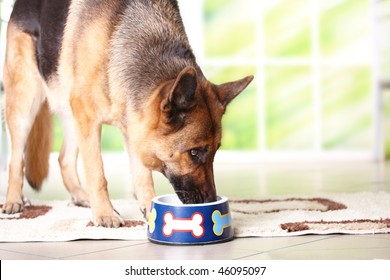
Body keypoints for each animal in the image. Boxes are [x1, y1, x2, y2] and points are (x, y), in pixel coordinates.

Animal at [3, 0, 253, 228]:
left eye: (215, 151)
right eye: (194, 153)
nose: (211, 200)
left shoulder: (134, 125)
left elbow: (142, 175)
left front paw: (149, 209)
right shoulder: (90, 118)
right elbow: (97, 172)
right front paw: (105, 214)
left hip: (70, 114)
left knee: (63, 159)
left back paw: (81, 197)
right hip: (26, 104)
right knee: (16, 159)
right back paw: (14, 200)